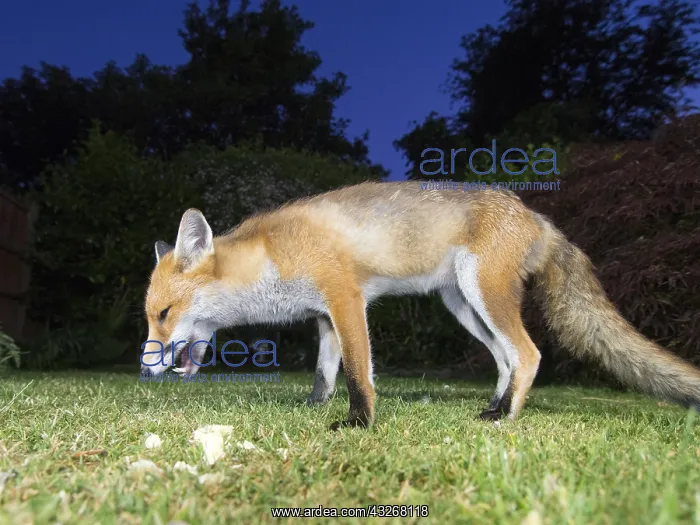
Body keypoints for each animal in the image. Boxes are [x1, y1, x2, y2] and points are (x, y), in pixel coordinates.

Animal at [140, 181, 700, 428]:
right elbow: (324, 373)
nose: (144, 371)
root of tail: (535, 215)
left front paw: (358, 423)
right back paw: (494, 406)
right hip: (464, 306)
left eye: (163, 315)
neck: (271, 255)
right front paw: (313, 408)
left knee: (530, 354)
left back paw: (506, 418)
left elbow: (357, 372)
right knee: (506, 360)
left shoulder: (345, 297)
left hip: (483, 294)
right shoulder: (324, 316)